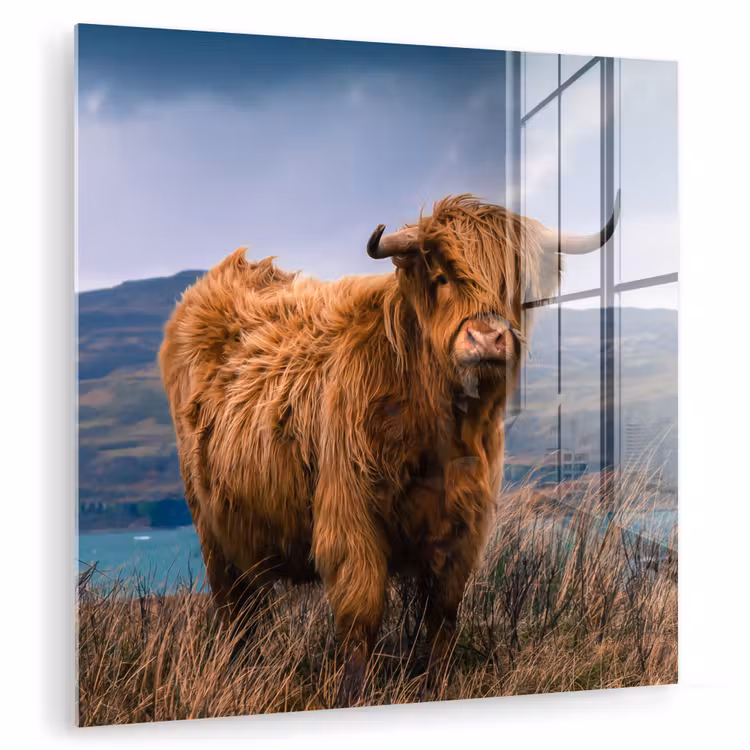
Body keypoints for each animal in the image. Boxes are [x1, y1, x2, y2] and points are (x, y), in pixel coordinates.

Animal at [158, 193, 620, 703]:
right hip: (212, 530)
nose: (487, 338)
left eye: (514, 284)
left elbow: (442, 615)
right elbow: (361, 617)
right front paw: (352, 694)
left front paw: (438, 684)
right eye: (442, 276)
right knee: (234, 611)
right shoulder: (351, 519)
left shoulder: (463, 527)